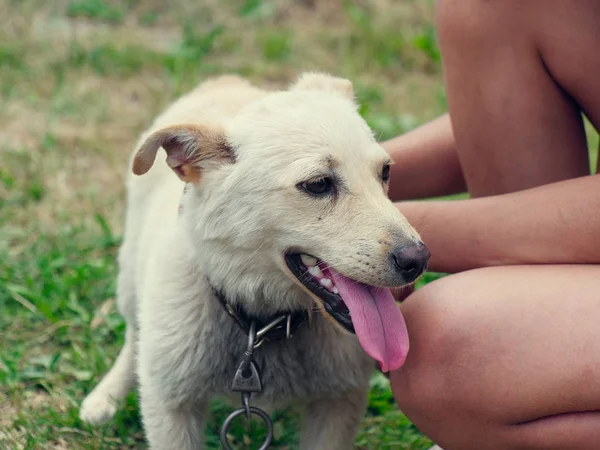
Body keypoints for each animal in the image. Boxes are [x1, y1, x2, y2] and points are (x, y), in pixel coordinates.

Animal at [81, 74, 432, 450]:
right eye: (318, 184)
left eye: (385, 172)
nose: (418, 260)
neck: (261, 324)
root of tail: (223, 81)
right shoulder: (172, 409)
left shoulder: (338, 404)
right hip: (131, 276)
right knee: (133, 333)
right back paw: (106, 398)